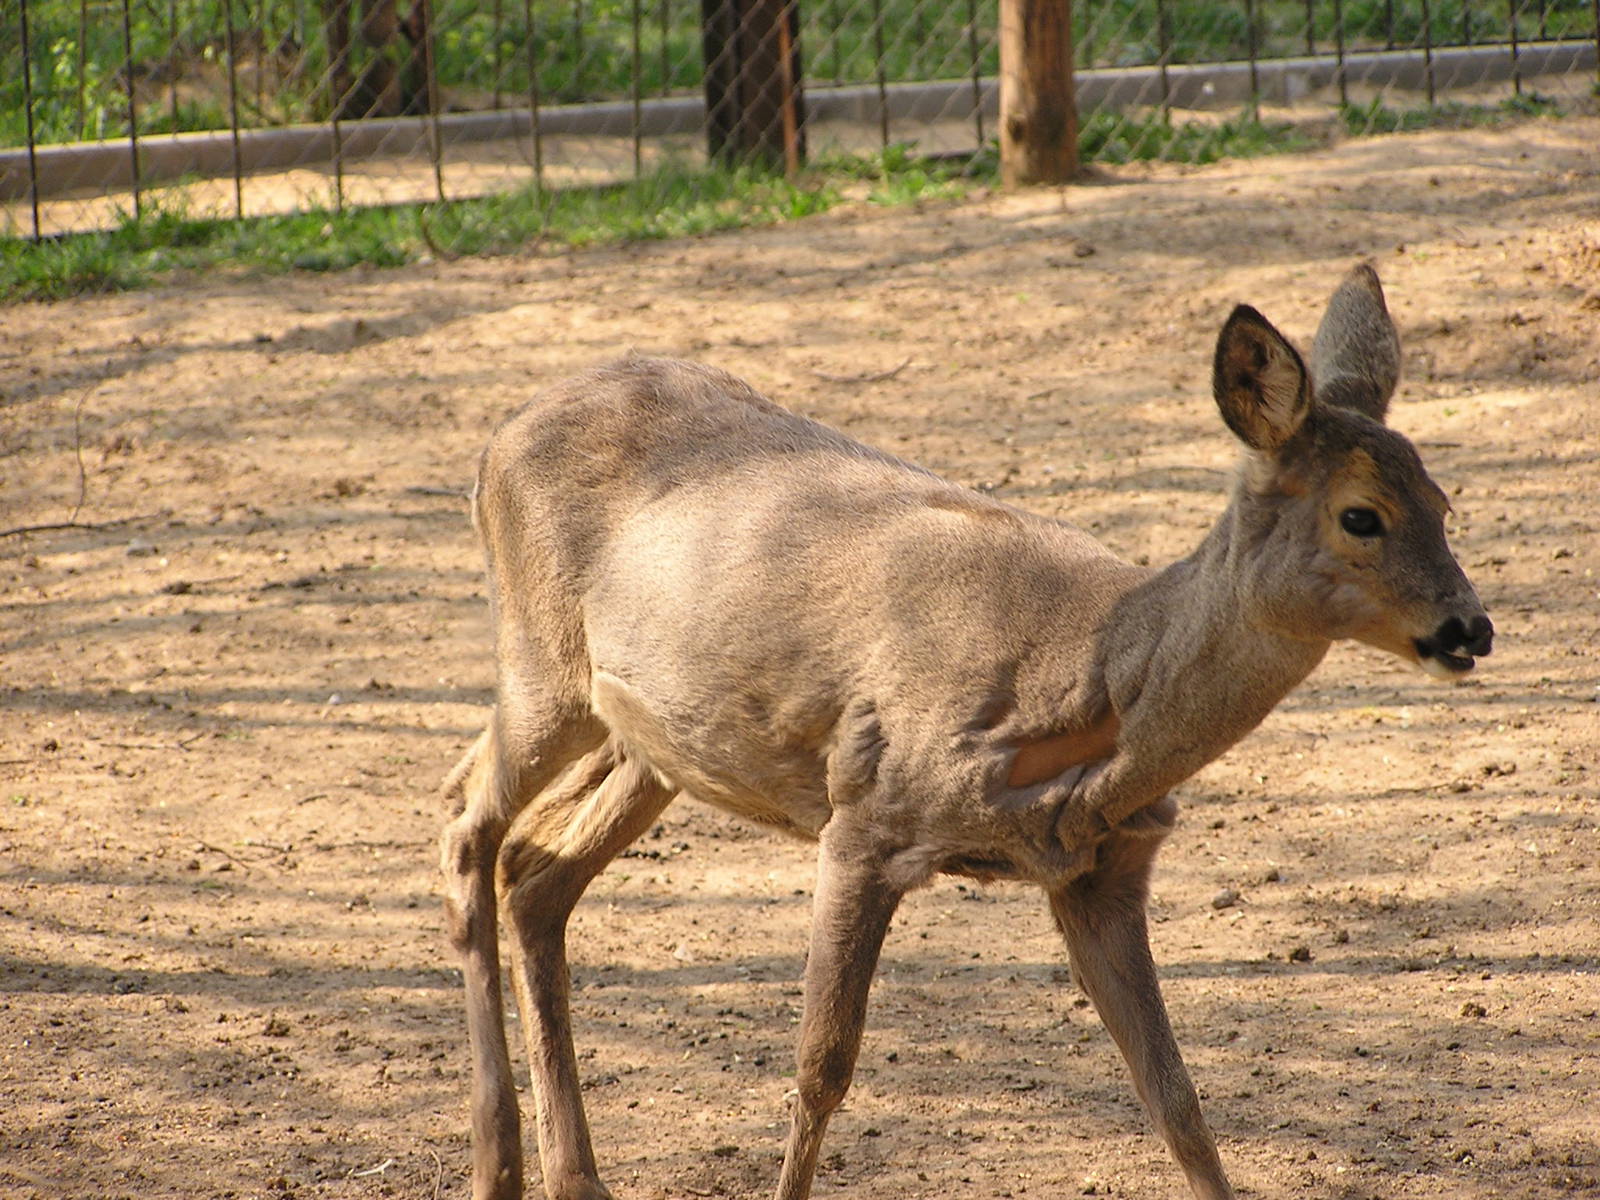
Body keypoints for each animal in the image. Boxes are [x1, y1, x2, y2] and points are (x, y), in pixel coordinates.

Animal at [438, 263, 1493, 1200]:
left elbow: (1177, 1099)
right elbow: (821, 1071)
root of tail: (495, 439)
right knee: (465, 817)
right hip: (542, 661)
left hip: (657, 741)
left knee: (536, 870)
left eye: (1445, 503)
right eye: (1362, 515)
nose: (1469, 628)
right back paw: (496, 1165)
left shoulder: (1102, 873)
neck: (1087, 698)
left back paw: (577, 1175)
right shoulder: (866, 816)